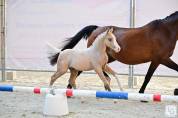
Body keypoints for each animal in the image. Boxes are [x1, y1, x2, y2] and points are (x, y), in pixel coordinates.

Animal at [49, 11, 178, 93]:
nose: (118, 48)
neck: (165, 32)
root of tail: (97, 28)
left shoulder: (159, 60)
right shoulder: (160, 59)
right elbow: (148, 77)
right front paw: (141, 94)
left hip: (108, 59)